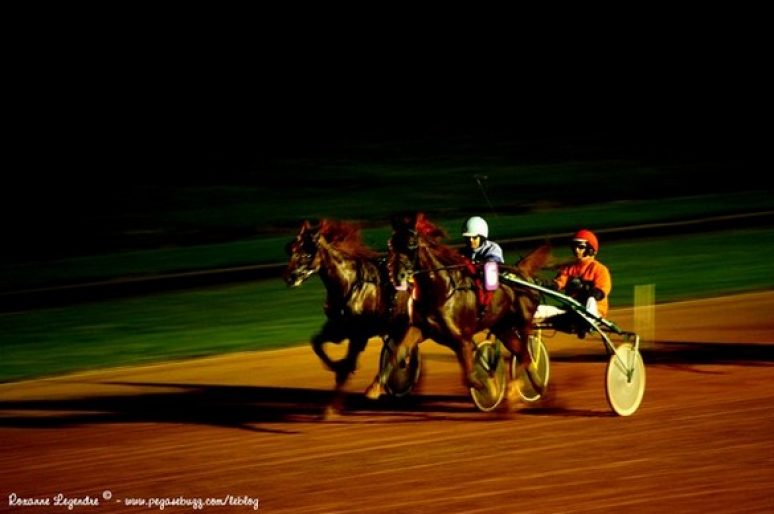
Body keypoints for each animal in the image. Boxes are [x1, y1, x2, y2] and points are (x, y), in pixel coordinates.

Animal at [280, 218, 410, 394]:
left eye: (307, 252)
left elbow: (351, 359)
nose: (289, 277)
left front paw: (344, 370)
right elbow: (317, 343)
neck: (348, 283)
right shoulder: (338, 328)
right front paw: (337, 367)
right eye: (292, 249)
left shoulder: (359, 332)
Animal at [384, 210, 548, 398]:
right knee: (521, 352)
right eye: (390, 244)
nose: (396, 275)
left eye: (412, 244)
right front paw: (375, 388)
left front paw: (490, 387)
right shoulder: (419, 328)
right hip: (502, 326)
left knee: (527, 349)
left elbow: (471, 378)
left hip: (523, 319)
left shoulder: (463, 338)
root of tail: (522, 273)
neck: (440, 290)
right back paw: (536, 386)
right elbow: (397, 356)